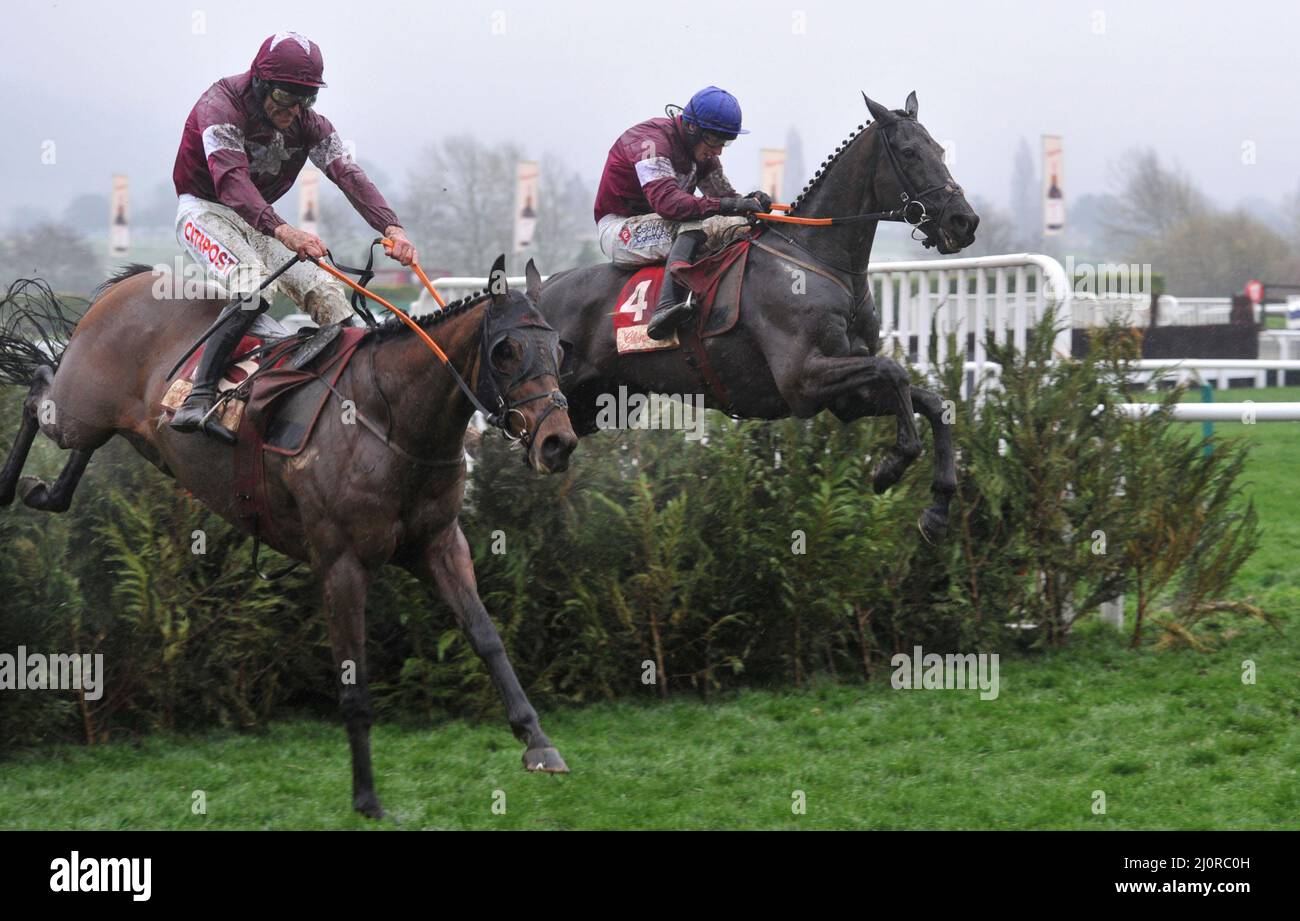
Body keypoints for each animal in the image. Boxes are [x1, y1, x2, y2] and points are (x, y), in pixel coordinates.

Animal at [0, 254, 579, 816]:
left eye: (559, 347)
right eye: (506, 350)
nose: (557, 443)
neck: (389, 417)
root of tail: (129, 284)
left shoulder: (439, 545)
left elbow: (487, 637)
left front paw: (538, 742)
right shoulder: (342, 563)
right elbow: (354, 680)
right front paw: (367, 798)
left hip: (128, 432)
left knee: (76, 441)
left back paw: (46, 492)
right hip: (76, 407)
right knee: (37, 387)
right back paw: (8, 485)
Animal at [538, 93, 977, 538]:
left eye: (940, 150)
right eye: (909, 152)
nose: (965, 221)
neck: (816, 257)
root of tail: (542, 288)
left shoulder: (845, 398)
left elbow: (932, 402)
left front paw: (938, 507)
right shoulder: (802, 379)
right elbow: (894, 370)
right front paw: (893, 464)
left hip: (597, 403)